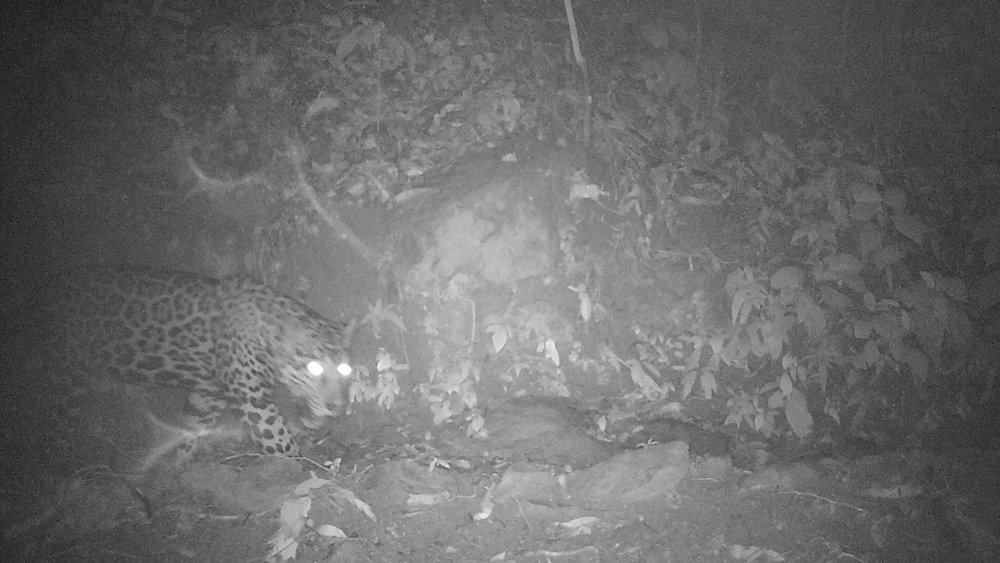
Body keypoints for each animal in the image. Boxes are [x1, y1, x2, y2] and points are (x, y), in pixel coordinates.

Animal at [35, 265, 354, 457]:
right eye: (314, 368)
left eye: (344, 369)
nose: (336, 406)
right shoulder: (253, 400)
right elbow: (277, 439)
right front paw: (304, 470)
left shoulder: (208, 392)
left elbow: (192, 426)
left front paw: (177, 466)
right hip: (65, 372)